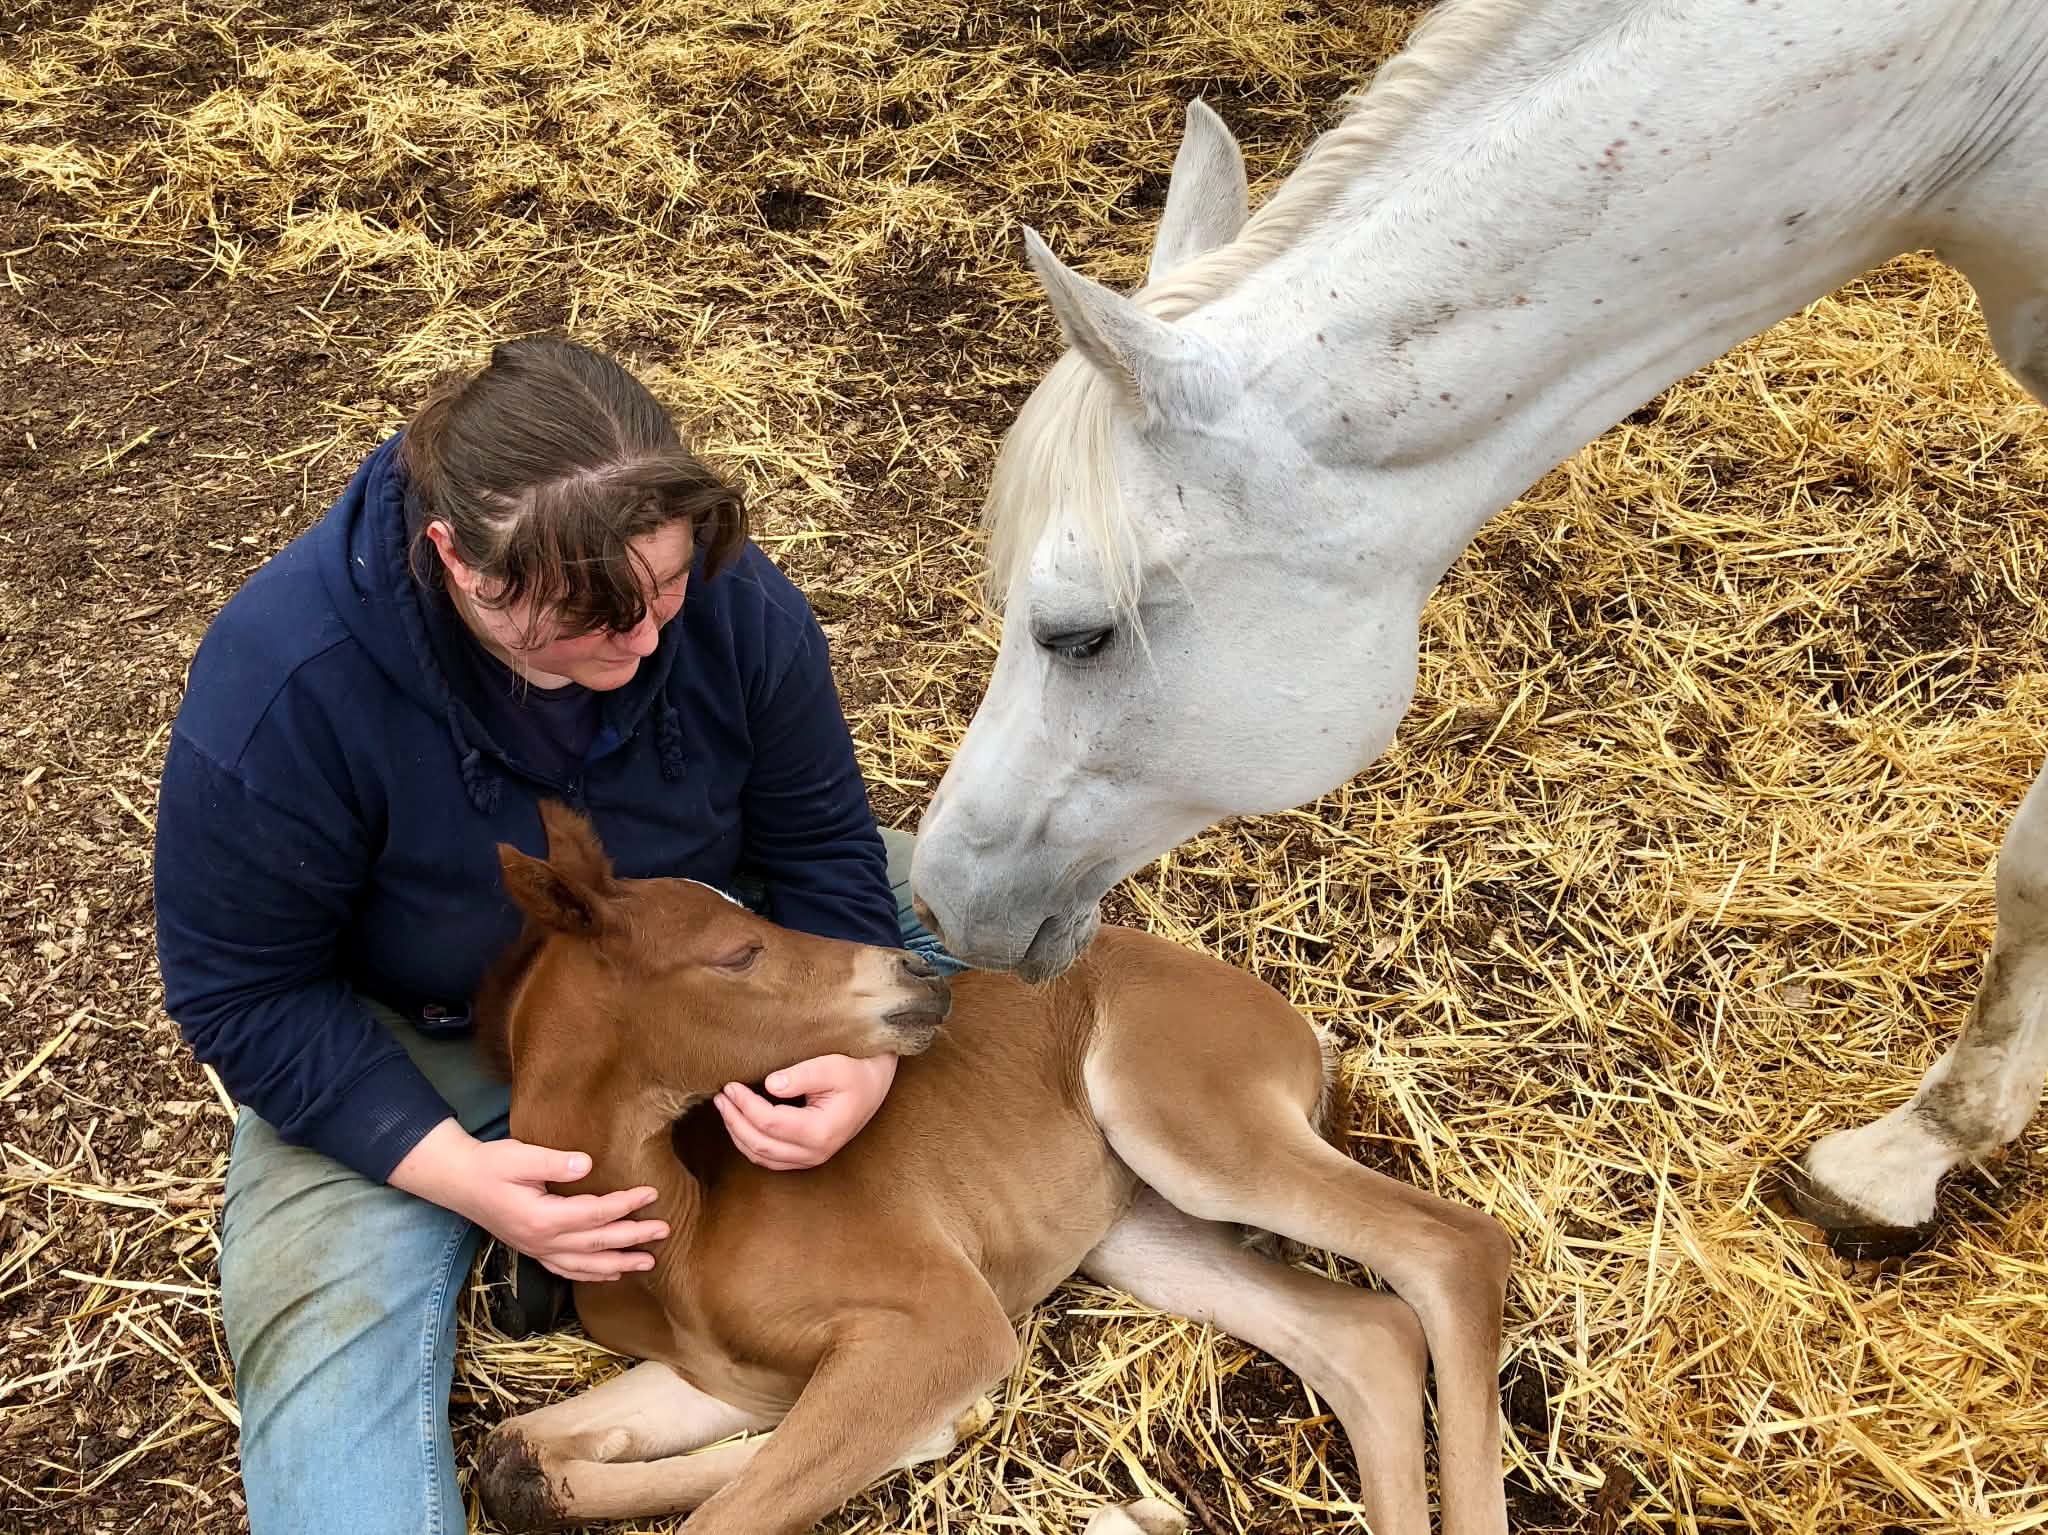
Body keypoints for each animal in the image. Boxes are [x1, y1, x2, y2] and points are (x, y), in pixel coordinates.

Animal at [470, 800, 1513, 1535]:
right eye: (737, 953)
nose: (917, 974)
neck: (683, 1230)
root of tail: (1295, 1024)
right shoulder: (719, 1372)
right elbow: (512, 1453)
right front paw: (941, 1434)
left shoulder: (940, 1321)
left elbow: (730, 1513)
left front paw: (940, 1429)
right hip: (1136, 1234)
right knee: (1367, 1336)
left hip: (1187, 1123)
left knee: (1454, 1244)